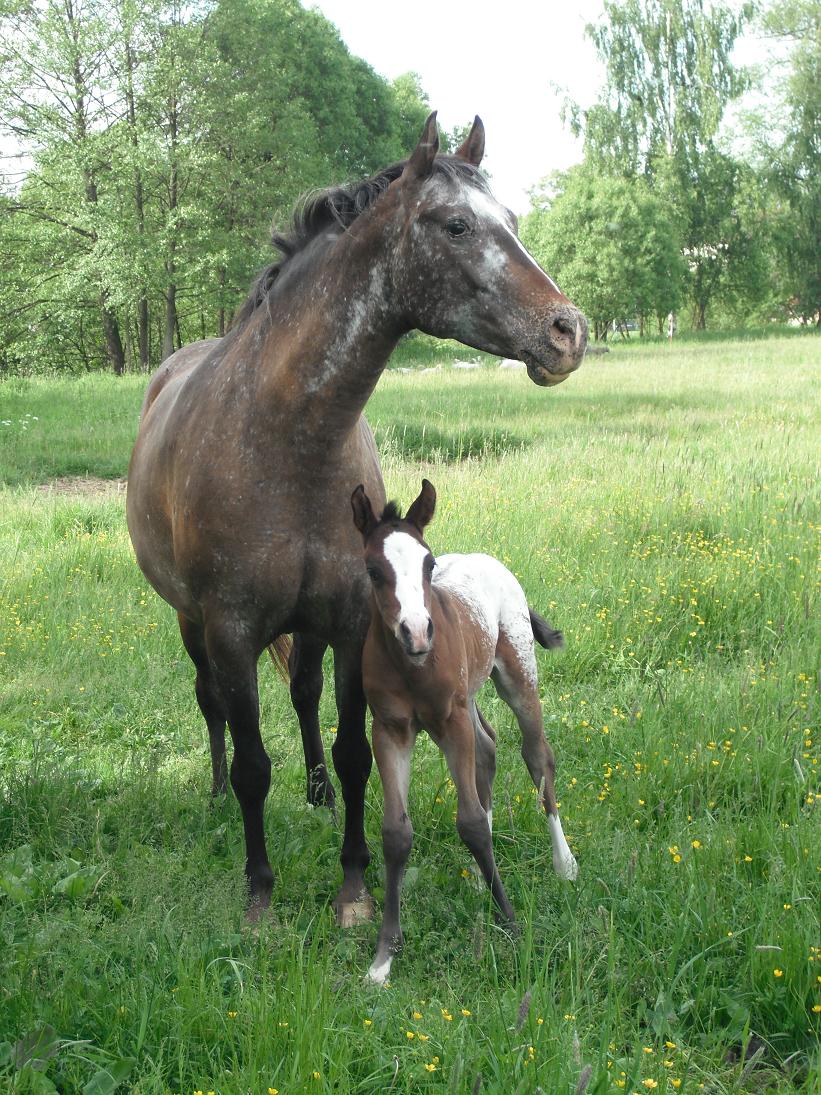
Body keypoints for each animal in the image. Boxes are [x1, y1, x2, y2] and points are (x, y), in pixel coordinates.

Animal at [125, 115, 586, 924]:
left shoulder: (345, 620)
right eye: (456, 224)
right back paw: (214, 793)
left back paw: (317, 794)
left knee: (305, 699)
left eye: (512, 219)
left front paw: (353, 889)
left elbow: (351, 749)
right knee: (211, 706)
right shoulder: (230, 628)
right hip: (188, 621)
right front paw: (259, 894)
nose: (568, 331)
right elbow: (252, 763)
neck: (288, 438)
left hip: (306, 629)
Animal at [354, 479, 577, 985]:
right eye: (374, 571)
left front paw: (511, 924)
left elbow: (471, 821)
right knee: (489, 749)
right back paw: (480, 876)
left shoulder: (451, 719)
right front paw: (383, 958)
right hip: (468, 698)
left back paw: (564, 863)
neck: (413, 666)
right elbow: (396, 834)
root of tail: (489, 560)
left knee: (537, 757)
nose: (417, 632)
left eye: (428, 563)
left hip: (516, 678)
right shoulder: (391, 729)